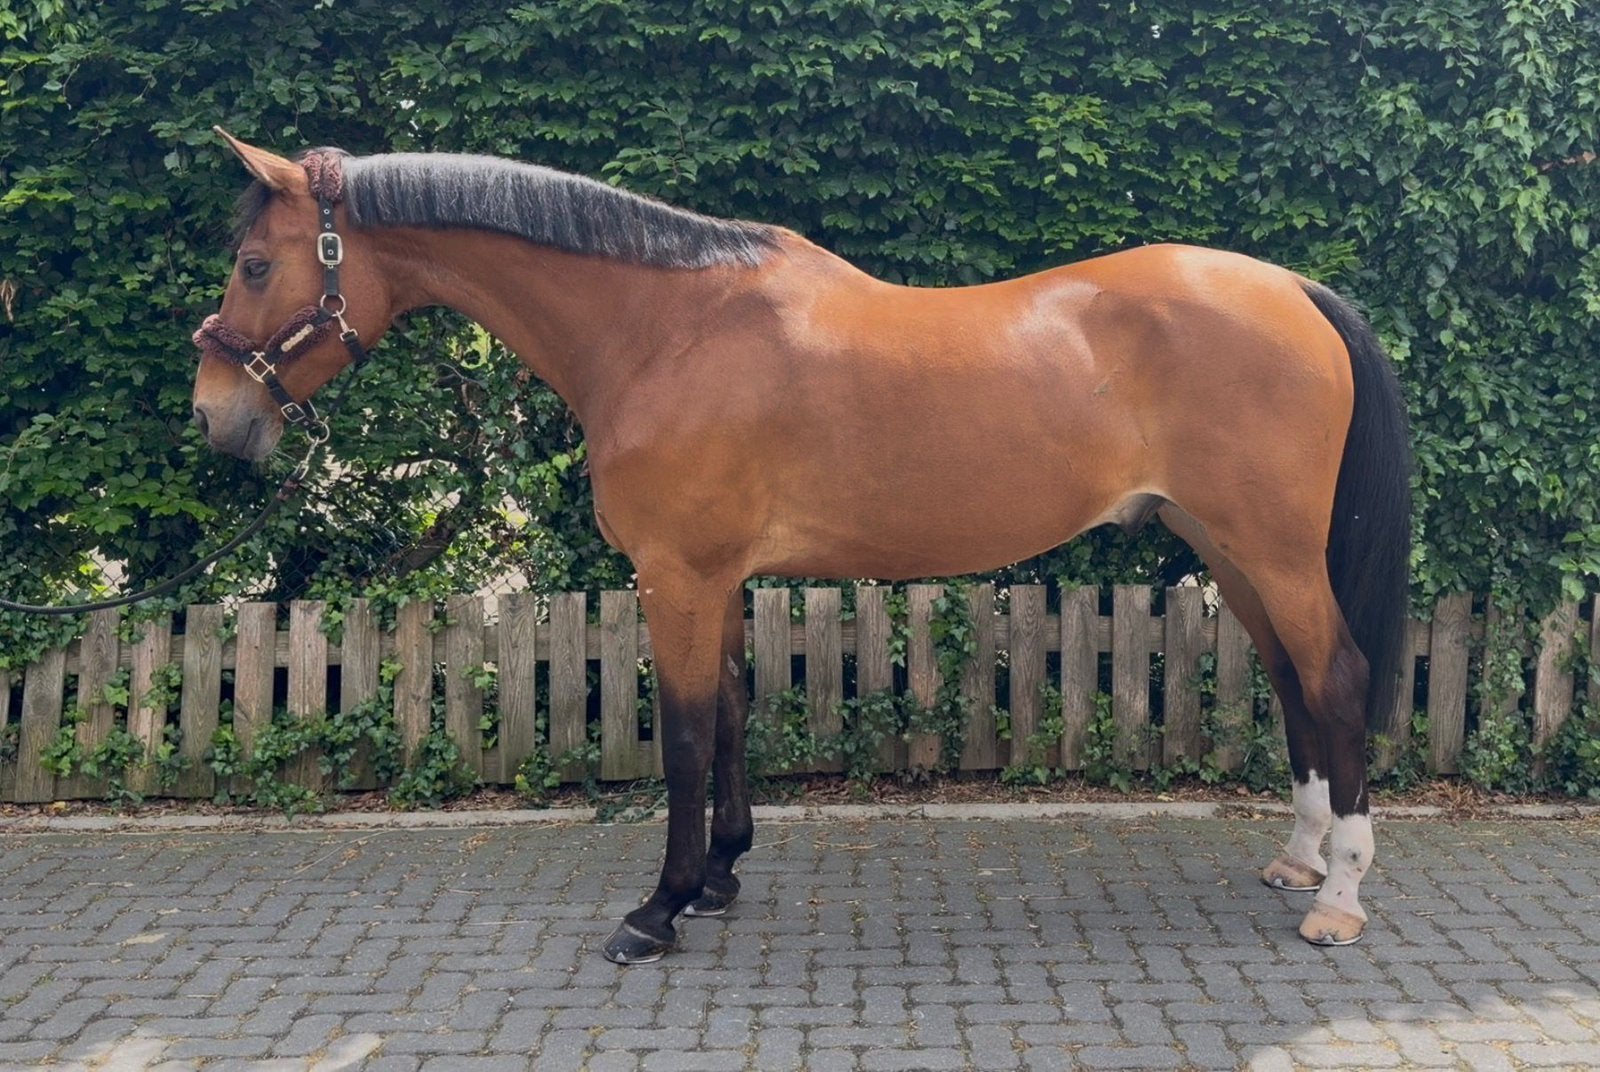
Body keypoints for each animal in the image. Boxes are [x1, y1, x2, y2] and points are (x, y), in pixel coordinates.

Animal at [192, 130, 1411, 964]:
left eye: (253, 263)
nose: (216, 417)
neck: (665, 332)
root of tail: (1293, 289)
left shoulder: (676, 576)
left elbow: (685, 737)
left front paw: (658, 909)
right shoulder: (719, 577)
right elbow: (731, 715)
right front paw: (720, 877)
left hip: (1274, 550)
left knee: (1336, 677)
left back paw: (1339, 896)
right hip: (1230, 548)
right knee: (1296, 684)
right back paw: (1298, 857)